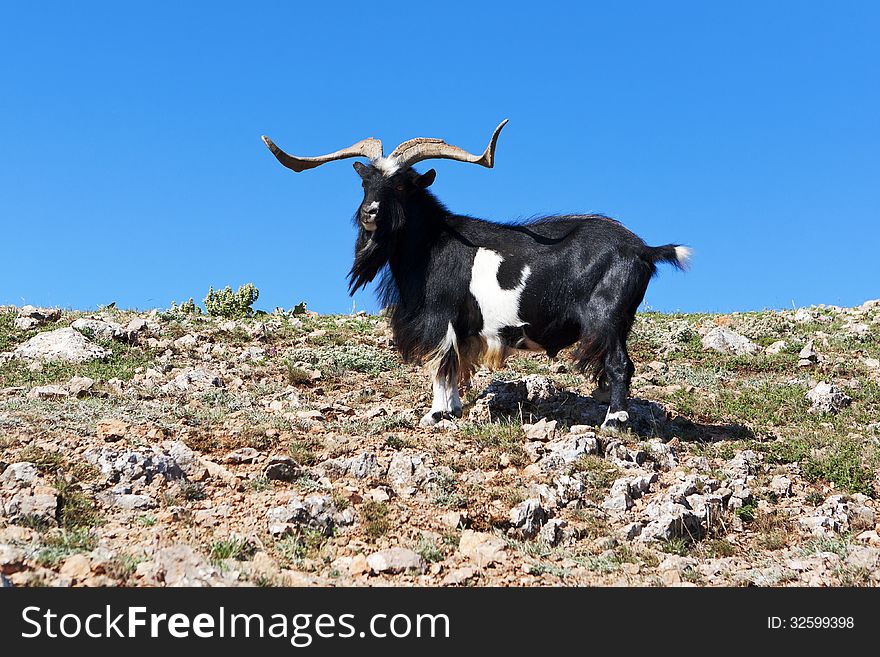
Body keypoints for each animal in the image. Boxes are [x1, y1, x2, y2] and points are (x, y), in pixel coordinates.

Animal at [262, 121, 688, 430]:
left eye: (402, 185)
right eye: (365, 182)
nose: (370, 213)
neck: (433, 244)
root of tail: (644, 250)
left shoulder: (440, 317)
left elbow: (441, 363)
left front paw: (436, 414)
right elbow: (454, 364)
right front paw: (451, 408)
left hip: (607, 317)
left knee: (619, 364)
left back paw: (614, 421)